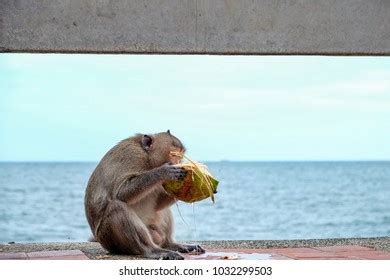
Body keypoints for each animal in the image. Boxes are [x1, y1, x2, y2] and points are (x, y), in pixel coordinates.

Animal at [84, 130, 206, 260]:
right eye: (174, 155)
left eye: (180, 157)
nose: (179, 163)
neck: (148, 159)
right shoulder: (132, 157)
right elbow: (120, 193)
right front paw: (163, 172)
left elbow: (159, 205)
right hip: (109, 239)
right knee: (117, 207)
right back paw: (152, 250)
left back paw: (171, 244)